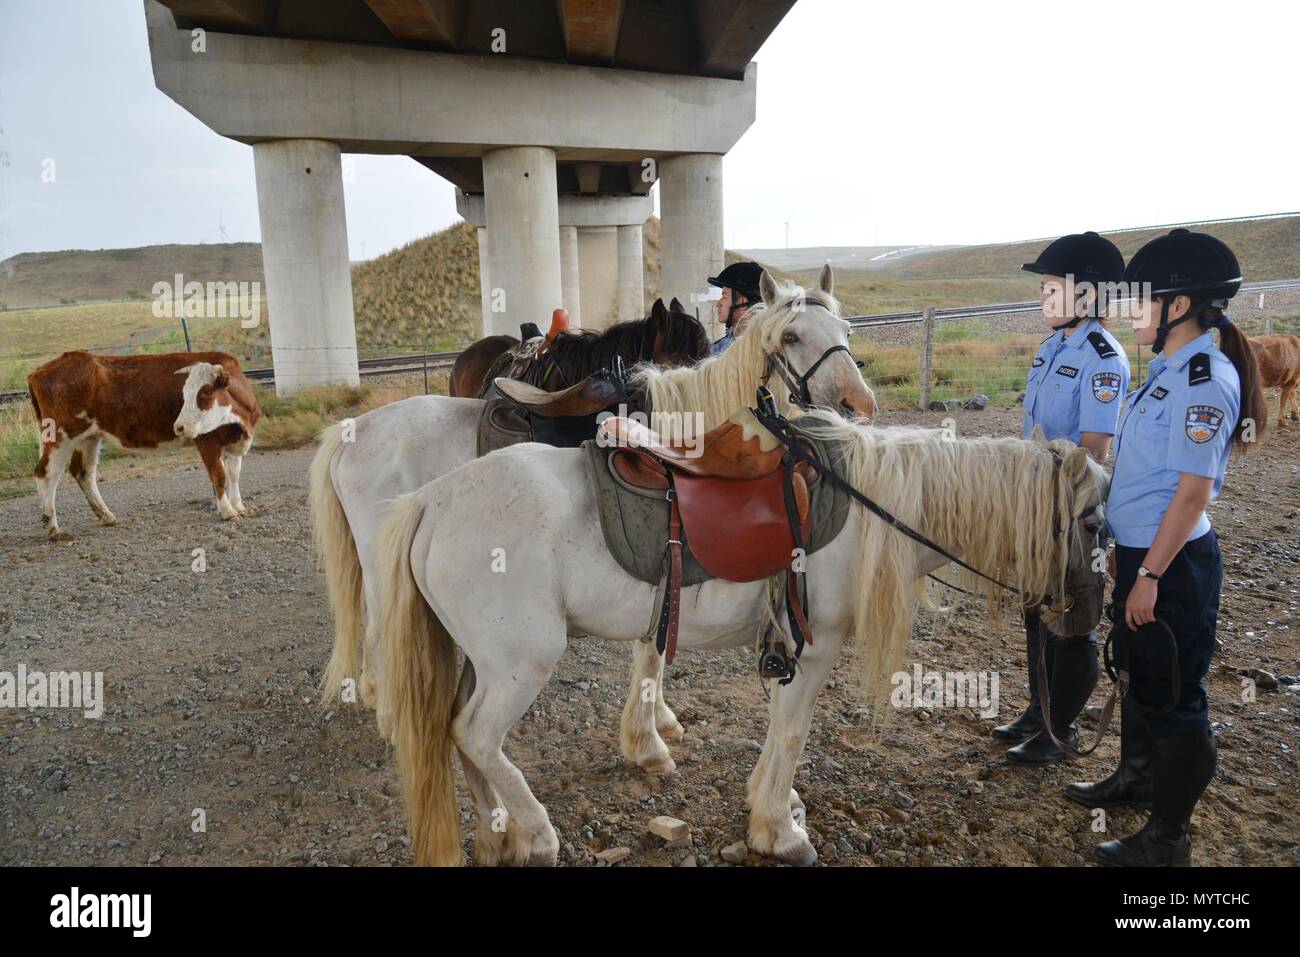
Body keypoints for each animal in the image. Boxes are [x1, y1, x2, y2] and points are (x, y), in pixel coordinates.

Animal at [28, 351, 261, 538]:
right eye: (184, 395)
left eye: (204, 392)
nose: (179, 427)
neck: (240, 420)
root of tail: (39, 371)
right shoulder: (207, 440)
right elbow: (219, 476)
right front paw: (228, 511)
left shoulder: (234, 442)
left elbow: (234, 474)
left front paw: (239, 506)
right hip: (60, 436)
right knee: (46, 474)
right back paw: (53, 528)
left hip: (89, 437)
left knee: (83, 473)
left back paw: (106, 515)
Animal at [374, 410, 1107, 868]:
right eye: (1096, 522)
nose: (1085, 618)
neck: (869, 501)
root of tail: (432, 502)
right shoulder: (813, 648)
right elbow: (793, 732)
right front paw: (778, 831)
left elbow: (783, 733)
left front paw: (776, 807)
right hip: (518, 666)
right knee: (476, 736)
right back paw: (536, 833)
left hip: (483, 663)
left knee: (458, 734)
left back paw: (499, 835)